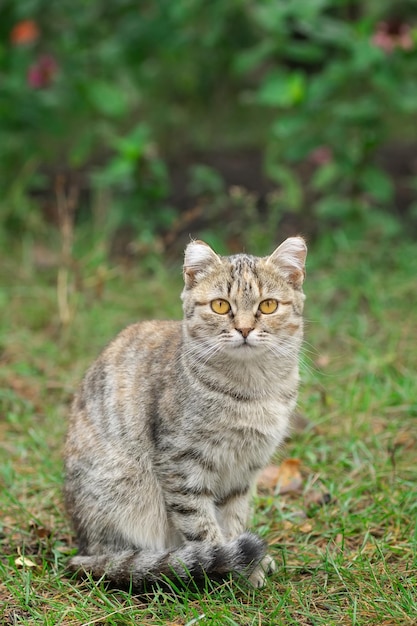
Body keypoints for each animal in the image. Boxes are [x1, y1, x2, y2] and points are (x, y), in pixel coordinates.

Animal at [64, 236, 306, 588]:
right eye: (220, 306)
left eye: (268, 306)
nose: (245, 329)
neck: (251, 390)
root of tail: (82, 549)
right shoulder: (180, 463)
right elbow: (203, 528)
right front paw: (229, 569)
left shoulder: (244, 470)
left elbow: (234, 519)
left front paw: (250, 566)